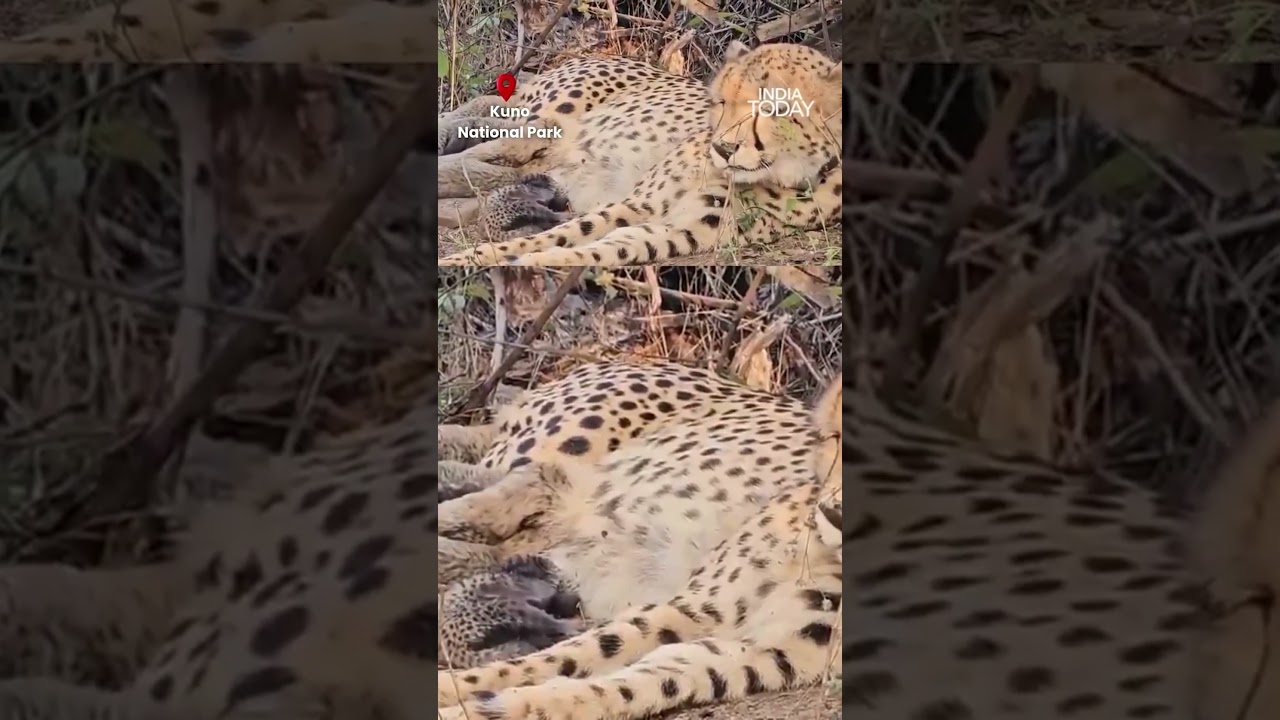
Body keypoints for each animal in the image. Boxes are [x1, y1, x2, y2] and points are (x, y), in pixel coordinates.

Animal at [437, 41, 842, 267]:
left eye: (774, 110)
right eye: (721, 103)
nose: (723, 148)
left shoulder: (675, 231)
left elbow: (588, 251)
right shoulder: (637, 204)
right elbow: (556, 236)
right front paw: (466, 260)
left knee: (489, 162)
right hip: (550, 119)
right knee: (485, 139)